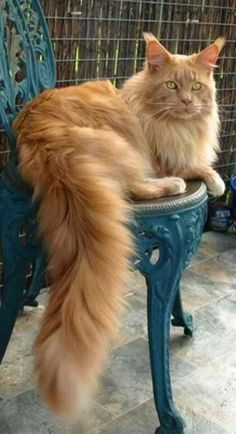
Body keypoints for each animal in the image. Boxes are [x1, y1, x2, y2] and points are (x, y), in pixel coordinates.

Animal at [12, 34, 225, 418]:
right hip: (121, 146)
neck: (175, 125)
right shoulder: (159, 155)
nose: (187, 102)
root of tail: (42, 136)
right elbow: (193, 165)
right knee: (134, 187)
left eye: (197, 87)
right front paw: (215, 179)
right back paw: (171, 185)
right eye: (171, 86)